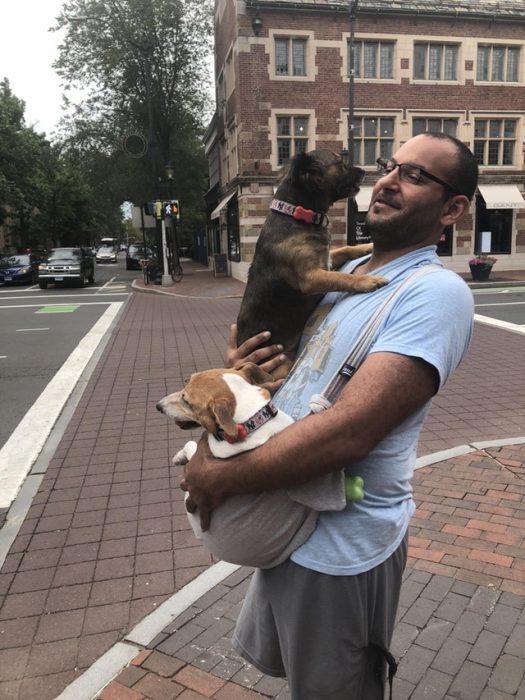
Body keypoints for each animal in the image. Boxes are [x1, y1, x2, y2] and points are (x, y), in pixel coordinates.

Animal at [157, 364, 344, 568]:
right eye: (186, 382)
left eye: (186, 400)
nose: (158, 405)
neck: (252, 421)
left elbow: (190, 446)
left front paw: (179, 457)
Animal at [235, 149, 386, 378]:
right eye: (340, 164)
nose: (364, 170)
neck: (298, 214)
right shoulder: (311, 277)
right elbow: (343, 277)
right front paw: (368, 280)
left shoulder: (326, 260)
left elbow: (345, 249)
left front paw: (367, 246)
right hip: (280, 367)